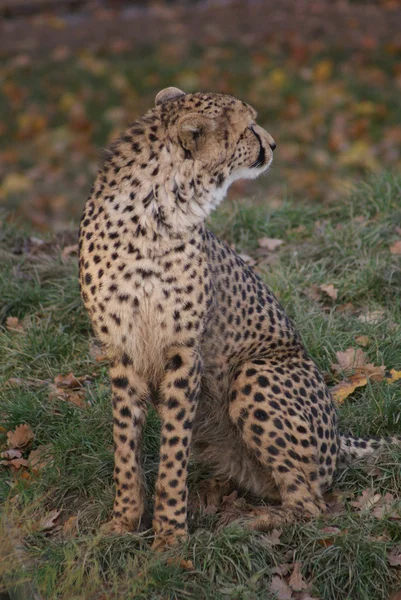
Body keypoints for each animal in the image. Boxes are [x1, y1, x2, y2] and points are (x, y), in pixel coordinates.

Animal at [79, 86, 398, 552]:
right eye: (247, 125)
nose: (274, 143)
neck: (156, 210)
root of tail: (339, 434)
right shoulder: (122, 349)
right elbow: (125, 445)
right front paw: (123, 522)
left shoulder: (184, 351)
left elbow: (172, 452)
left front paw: (170, 536)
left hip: (255, 372)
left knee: (311, 505)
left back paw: (252, 525)